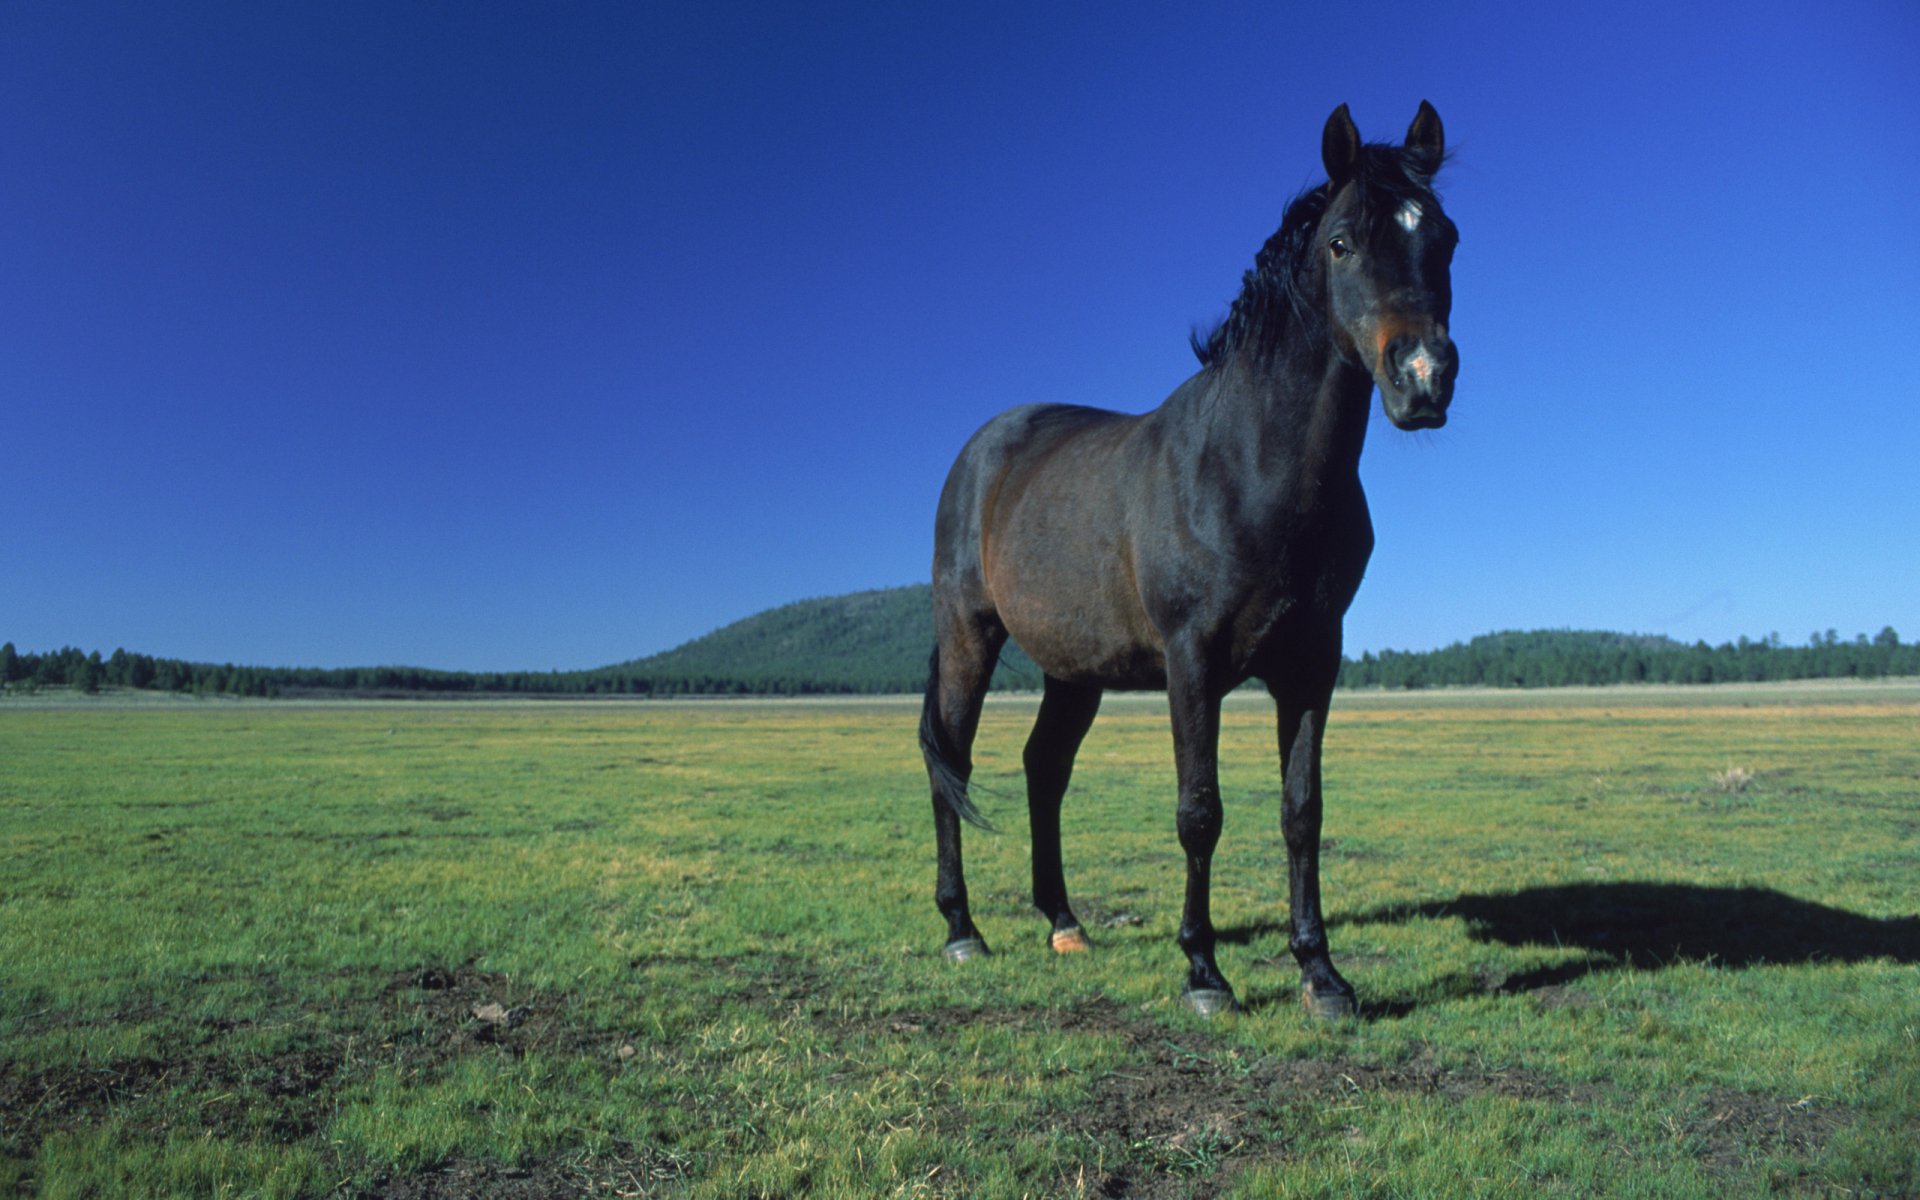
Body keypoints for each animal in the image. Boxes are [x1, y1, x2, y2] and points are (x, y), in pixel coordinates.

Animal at [919, 102, 1459, 1017]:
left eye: (1447, 236)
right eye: (1342, 242)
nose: (1422, 377)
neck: (1251, 467)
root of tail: (983, 450)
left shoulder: (1312, 663)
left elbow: (1302, 812)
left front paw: (1321, 974)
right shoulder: (1192, 662)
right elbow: (1199, 811)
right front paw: (1204, 972)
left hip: (1075, 669)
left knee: (1043, 768)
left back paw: (1063, 922)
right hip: (970, 636)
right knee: (949, 762)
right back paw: (961, 930)